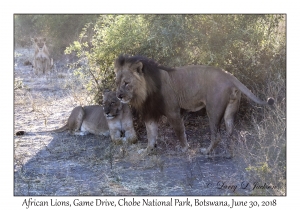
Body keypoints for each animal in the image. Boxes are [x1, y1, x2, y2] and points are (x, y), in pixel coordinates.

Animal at [115, 55, 274, 157]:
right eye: (117, 83)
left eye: (126, 83)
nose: (119, 96)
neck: (146, 90)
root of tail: (229, 76)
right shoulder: (149, 113)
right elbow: (151, 135)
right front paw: (147, 151)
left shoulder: (173, 111)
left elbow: (179, 132)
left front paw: (185, 149)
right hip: (230, 110)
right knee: (230, 130)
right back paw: (228, 150)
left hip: (213, 109)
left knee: (216, 135)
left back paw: (207, 151)